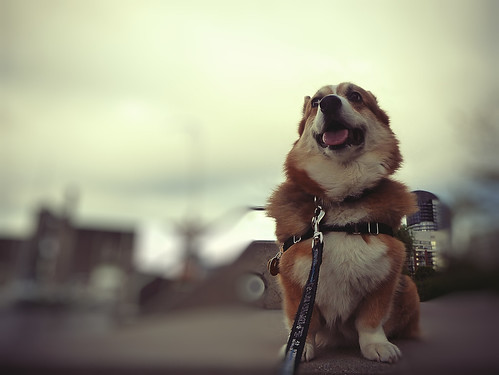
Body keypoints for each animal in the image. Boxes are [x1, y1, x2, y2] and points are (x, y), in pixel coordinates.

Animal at [268, 83, 420, 364]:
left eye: (356, 96)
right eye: (316, 102)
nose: (329, 103)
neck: (341, 199)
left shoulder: (387, 274)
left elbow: (371, 321)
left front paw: (377, 345)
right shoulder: (294, 281)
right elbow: (302, 320)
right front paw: (298, 347)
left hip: (410, 287)